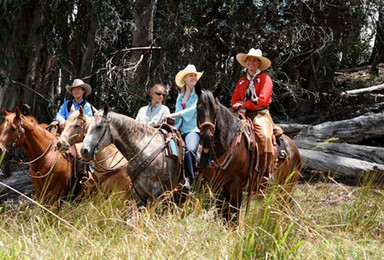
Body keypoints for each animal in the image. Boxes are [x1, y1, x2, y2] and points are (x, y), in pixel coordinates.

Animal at [196, 84, 302, 221]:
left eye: (216, 109)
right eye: (198, 108)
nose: (207, 138)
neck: (228, 143)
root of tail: (294, 149)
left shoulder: (236, 185)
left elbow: (234, 217)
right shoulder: (218, 186)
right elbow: (224, 217)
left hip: (286, 188)